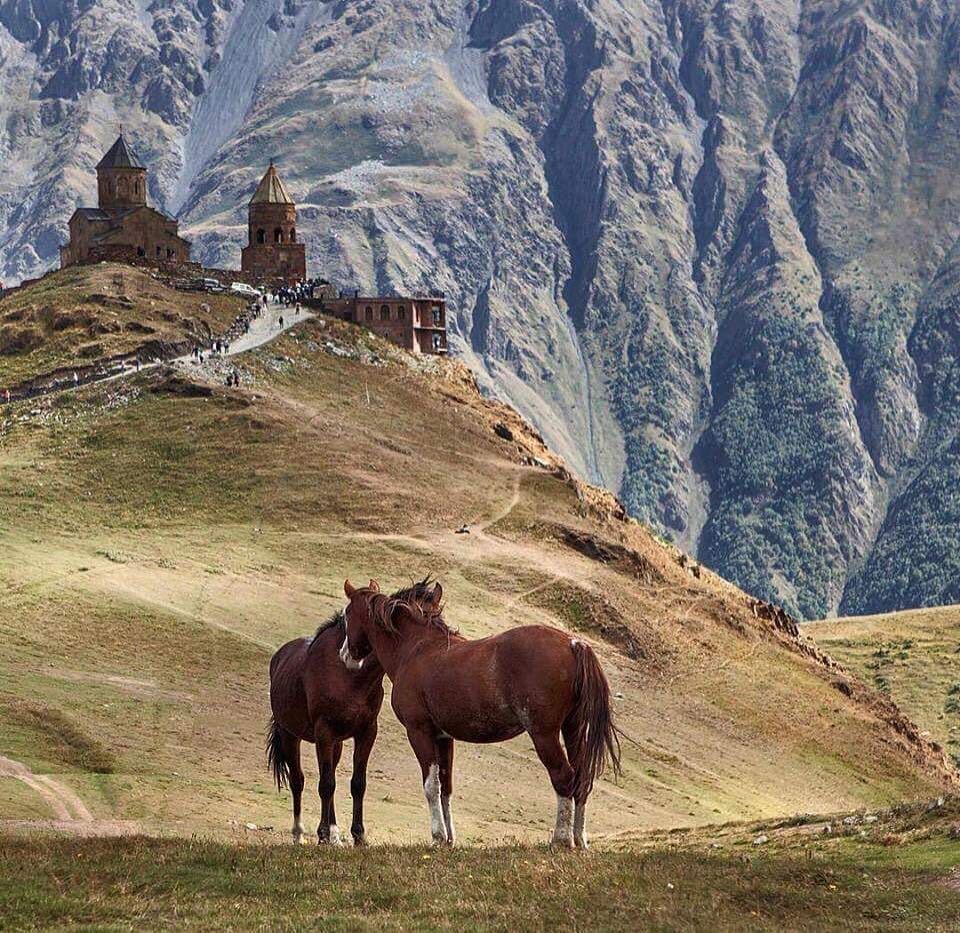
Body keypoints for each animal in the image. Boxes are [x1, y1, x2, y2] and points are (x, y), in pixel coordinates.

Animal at [266, 580, 436, 840]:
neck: (350, 676)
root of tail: (279, 657)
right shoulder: (324, 731)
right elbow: (325, 784)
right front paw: (323, 834)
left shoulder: (366, 731)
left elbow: (357, 784)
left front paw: (358, 835)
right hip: (290, 735)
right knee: (298, 781)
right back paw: (299, 833)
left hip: (335, 742)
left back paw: (334, 831)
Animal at [340, 580, 624, 848]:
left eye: (346, 614)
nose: (345, 655)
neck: (416, 649)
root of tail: (573, 643)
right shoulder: (444, 737)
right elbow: (445, 786)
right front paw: (450, 839)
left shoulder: (419, 731)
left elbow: (431, 786)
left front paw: (438, 836)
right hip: (573, 728)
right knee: (581, 778)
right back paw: (579, 839)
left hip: (544, 734)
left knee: (564, 776)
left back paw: (561, 839)